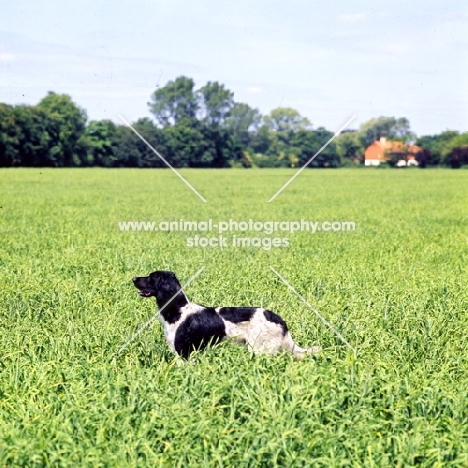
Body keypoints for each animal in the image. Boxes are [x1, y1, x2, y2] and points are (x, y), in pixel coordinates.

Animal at [133, 270, 320, 358]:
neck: (178, 310)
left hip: (260, 350)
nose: (133, 278)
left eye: (150, 277)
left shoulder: (183, 353)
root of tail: (279, 319)